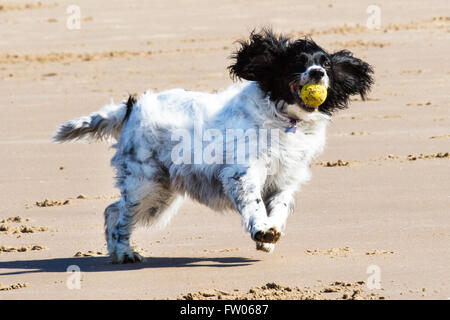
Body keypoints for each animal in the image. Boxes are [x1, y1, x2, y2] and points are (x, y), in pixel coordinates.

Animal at [54, 28, 374, 262]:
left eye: (327, 64)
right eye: (298, 62)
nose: (318, 73)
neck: (284, 120)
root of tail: (133, 107)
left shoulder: (286, 180)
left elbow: (280, 208)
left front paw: (270, 235)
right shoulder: (242, 173)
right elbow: (254, 204)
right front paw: (261, 230)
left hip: (159, 195)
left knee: (112, 210)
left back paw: (117, 252)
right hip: (145, 184)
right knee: (119, 217)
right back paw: (124, 253)